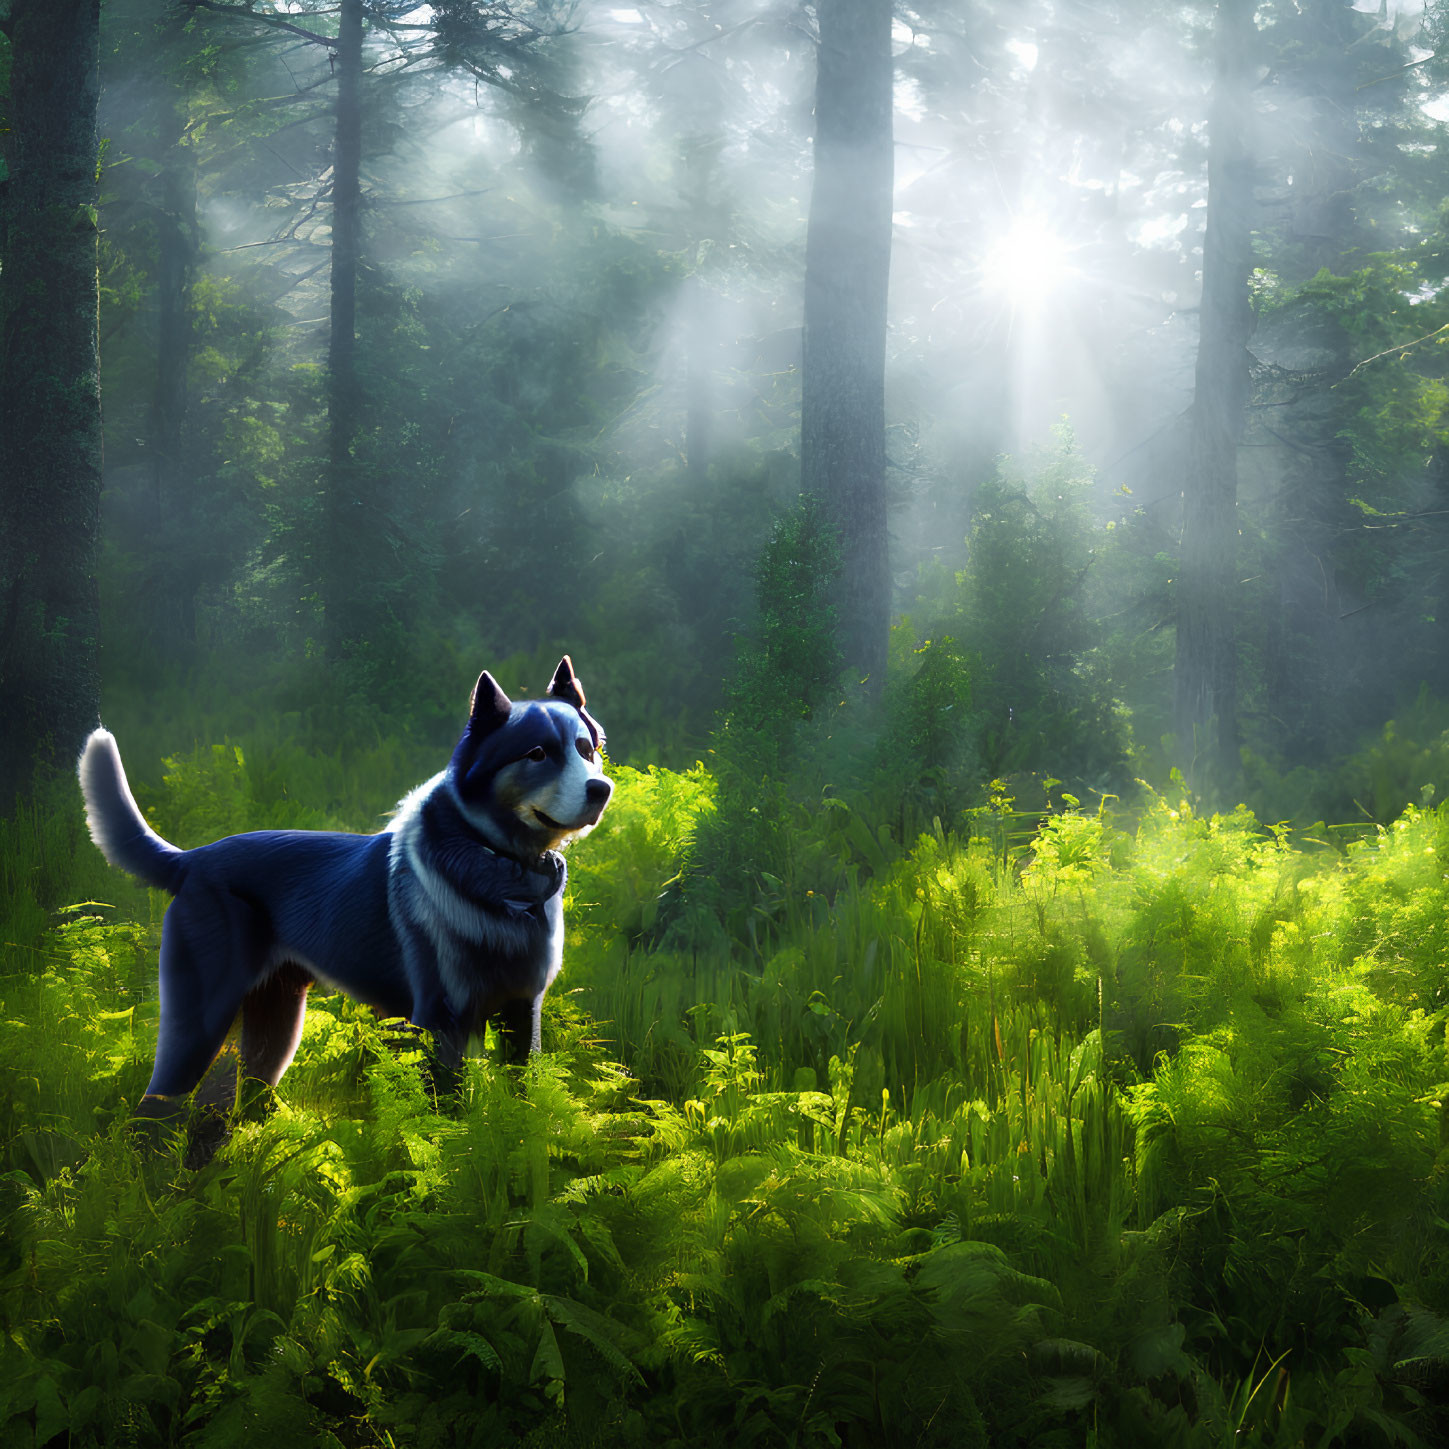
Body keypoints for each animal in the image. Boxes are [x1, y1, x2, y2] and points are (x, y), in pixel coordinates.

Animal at [79, 652, 611, 1112]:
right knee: (153, 1110)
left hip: (275, 1023)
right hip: (200, 1019)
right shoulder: (441, 1020)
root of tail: (193, 859)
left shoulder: (523, 1012)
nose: (602, 789)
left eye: (587, 751)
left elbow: (522, 1102)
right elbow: (447, 1118)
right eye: (537, 753)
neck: (501, 875)